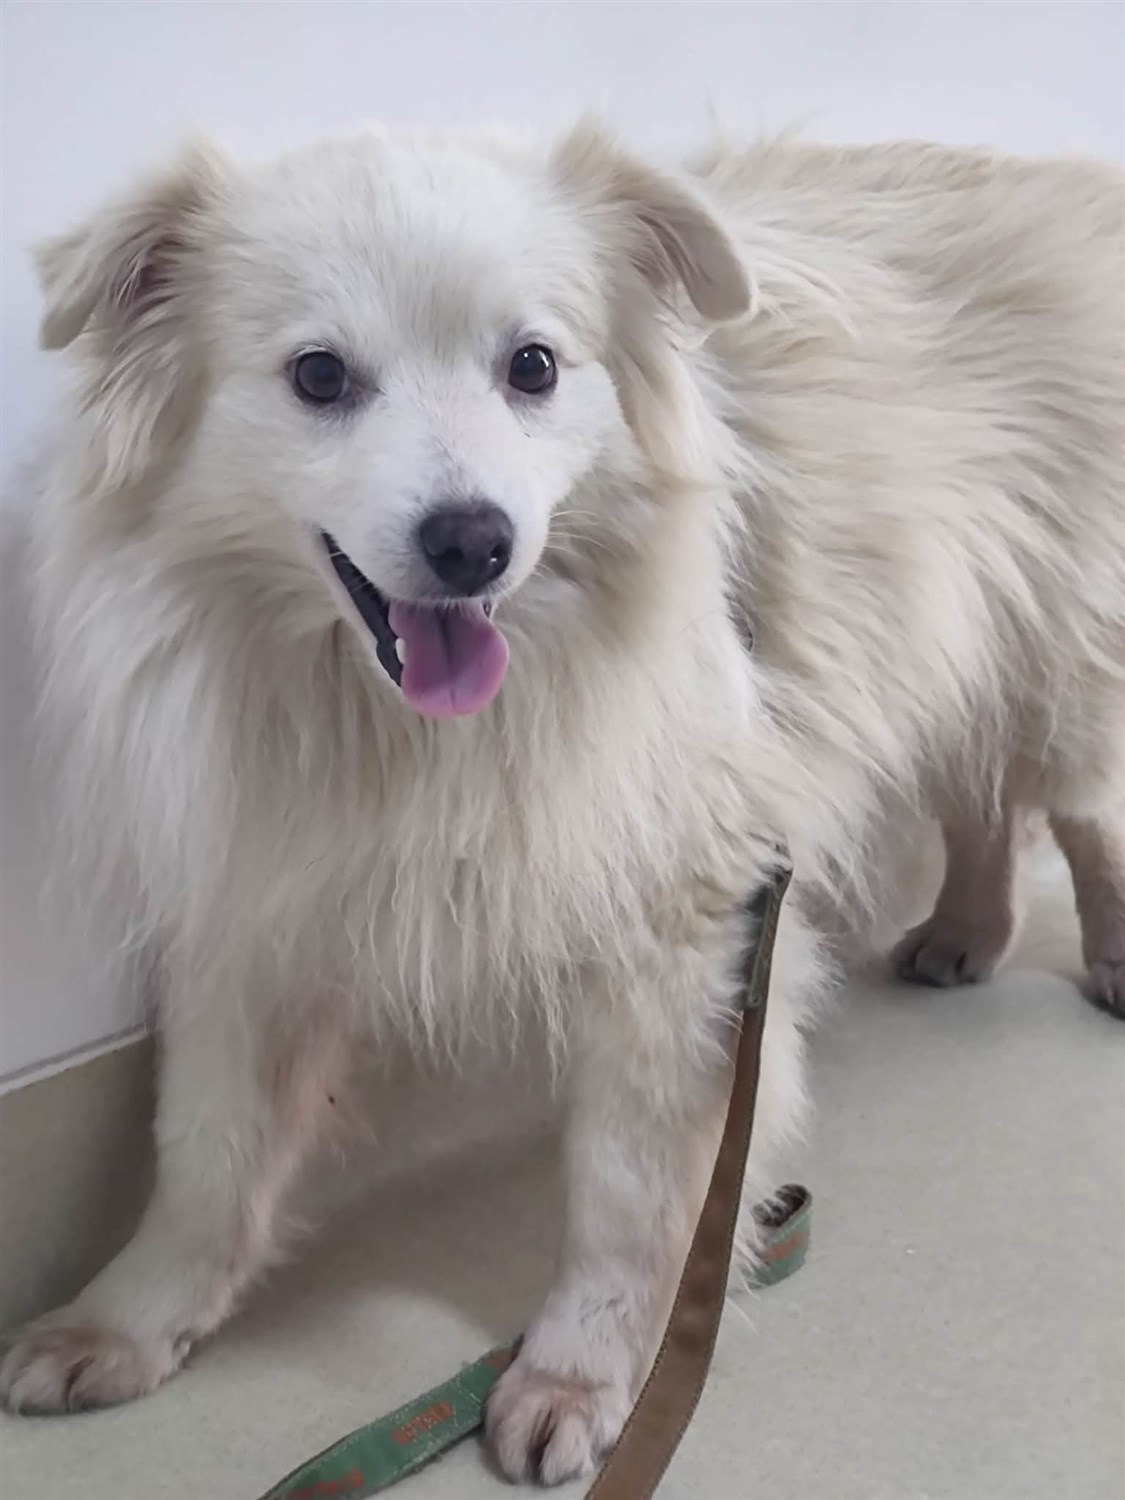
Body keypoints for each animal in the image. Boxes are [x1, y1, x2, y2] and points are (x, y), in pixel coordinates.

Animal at [2, 121, 1122, 1485]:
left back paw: (1108, 957)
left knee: (1082, 811)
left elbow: (627, 1193)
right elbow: (205, 1154)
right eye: (318, 376)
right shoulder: (255, 906)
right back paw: (967, 931)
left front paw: (582, 1378)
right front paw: (125, 1323)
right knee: (985, 799)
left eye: (533, 366)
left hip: (1057, 655)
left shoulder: (688, 934)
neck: (400, 730)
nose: (472, 539)